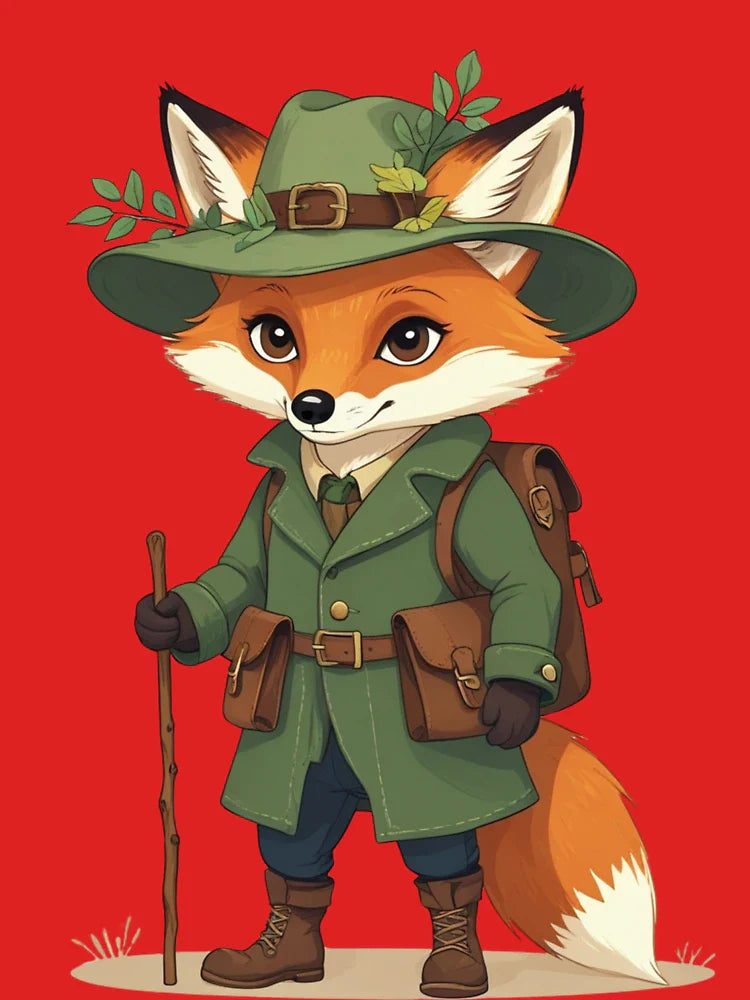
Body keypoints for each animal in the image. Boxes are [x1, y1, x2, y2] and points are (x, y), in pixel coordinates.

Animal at [99, 73, 662, 995]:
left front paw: (509, 703)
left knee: (444, 859)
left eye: (409, 340)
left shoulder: (486, 519)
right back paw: (278, 955)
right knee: (296, 845)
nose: (311, 406)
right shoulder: (265, 515)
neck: (342, 473)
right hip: (306, 773)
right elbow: (237, 581)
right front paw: (169, 620)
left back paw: (455, 962)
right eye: (274, 337)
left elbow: (520, 585)